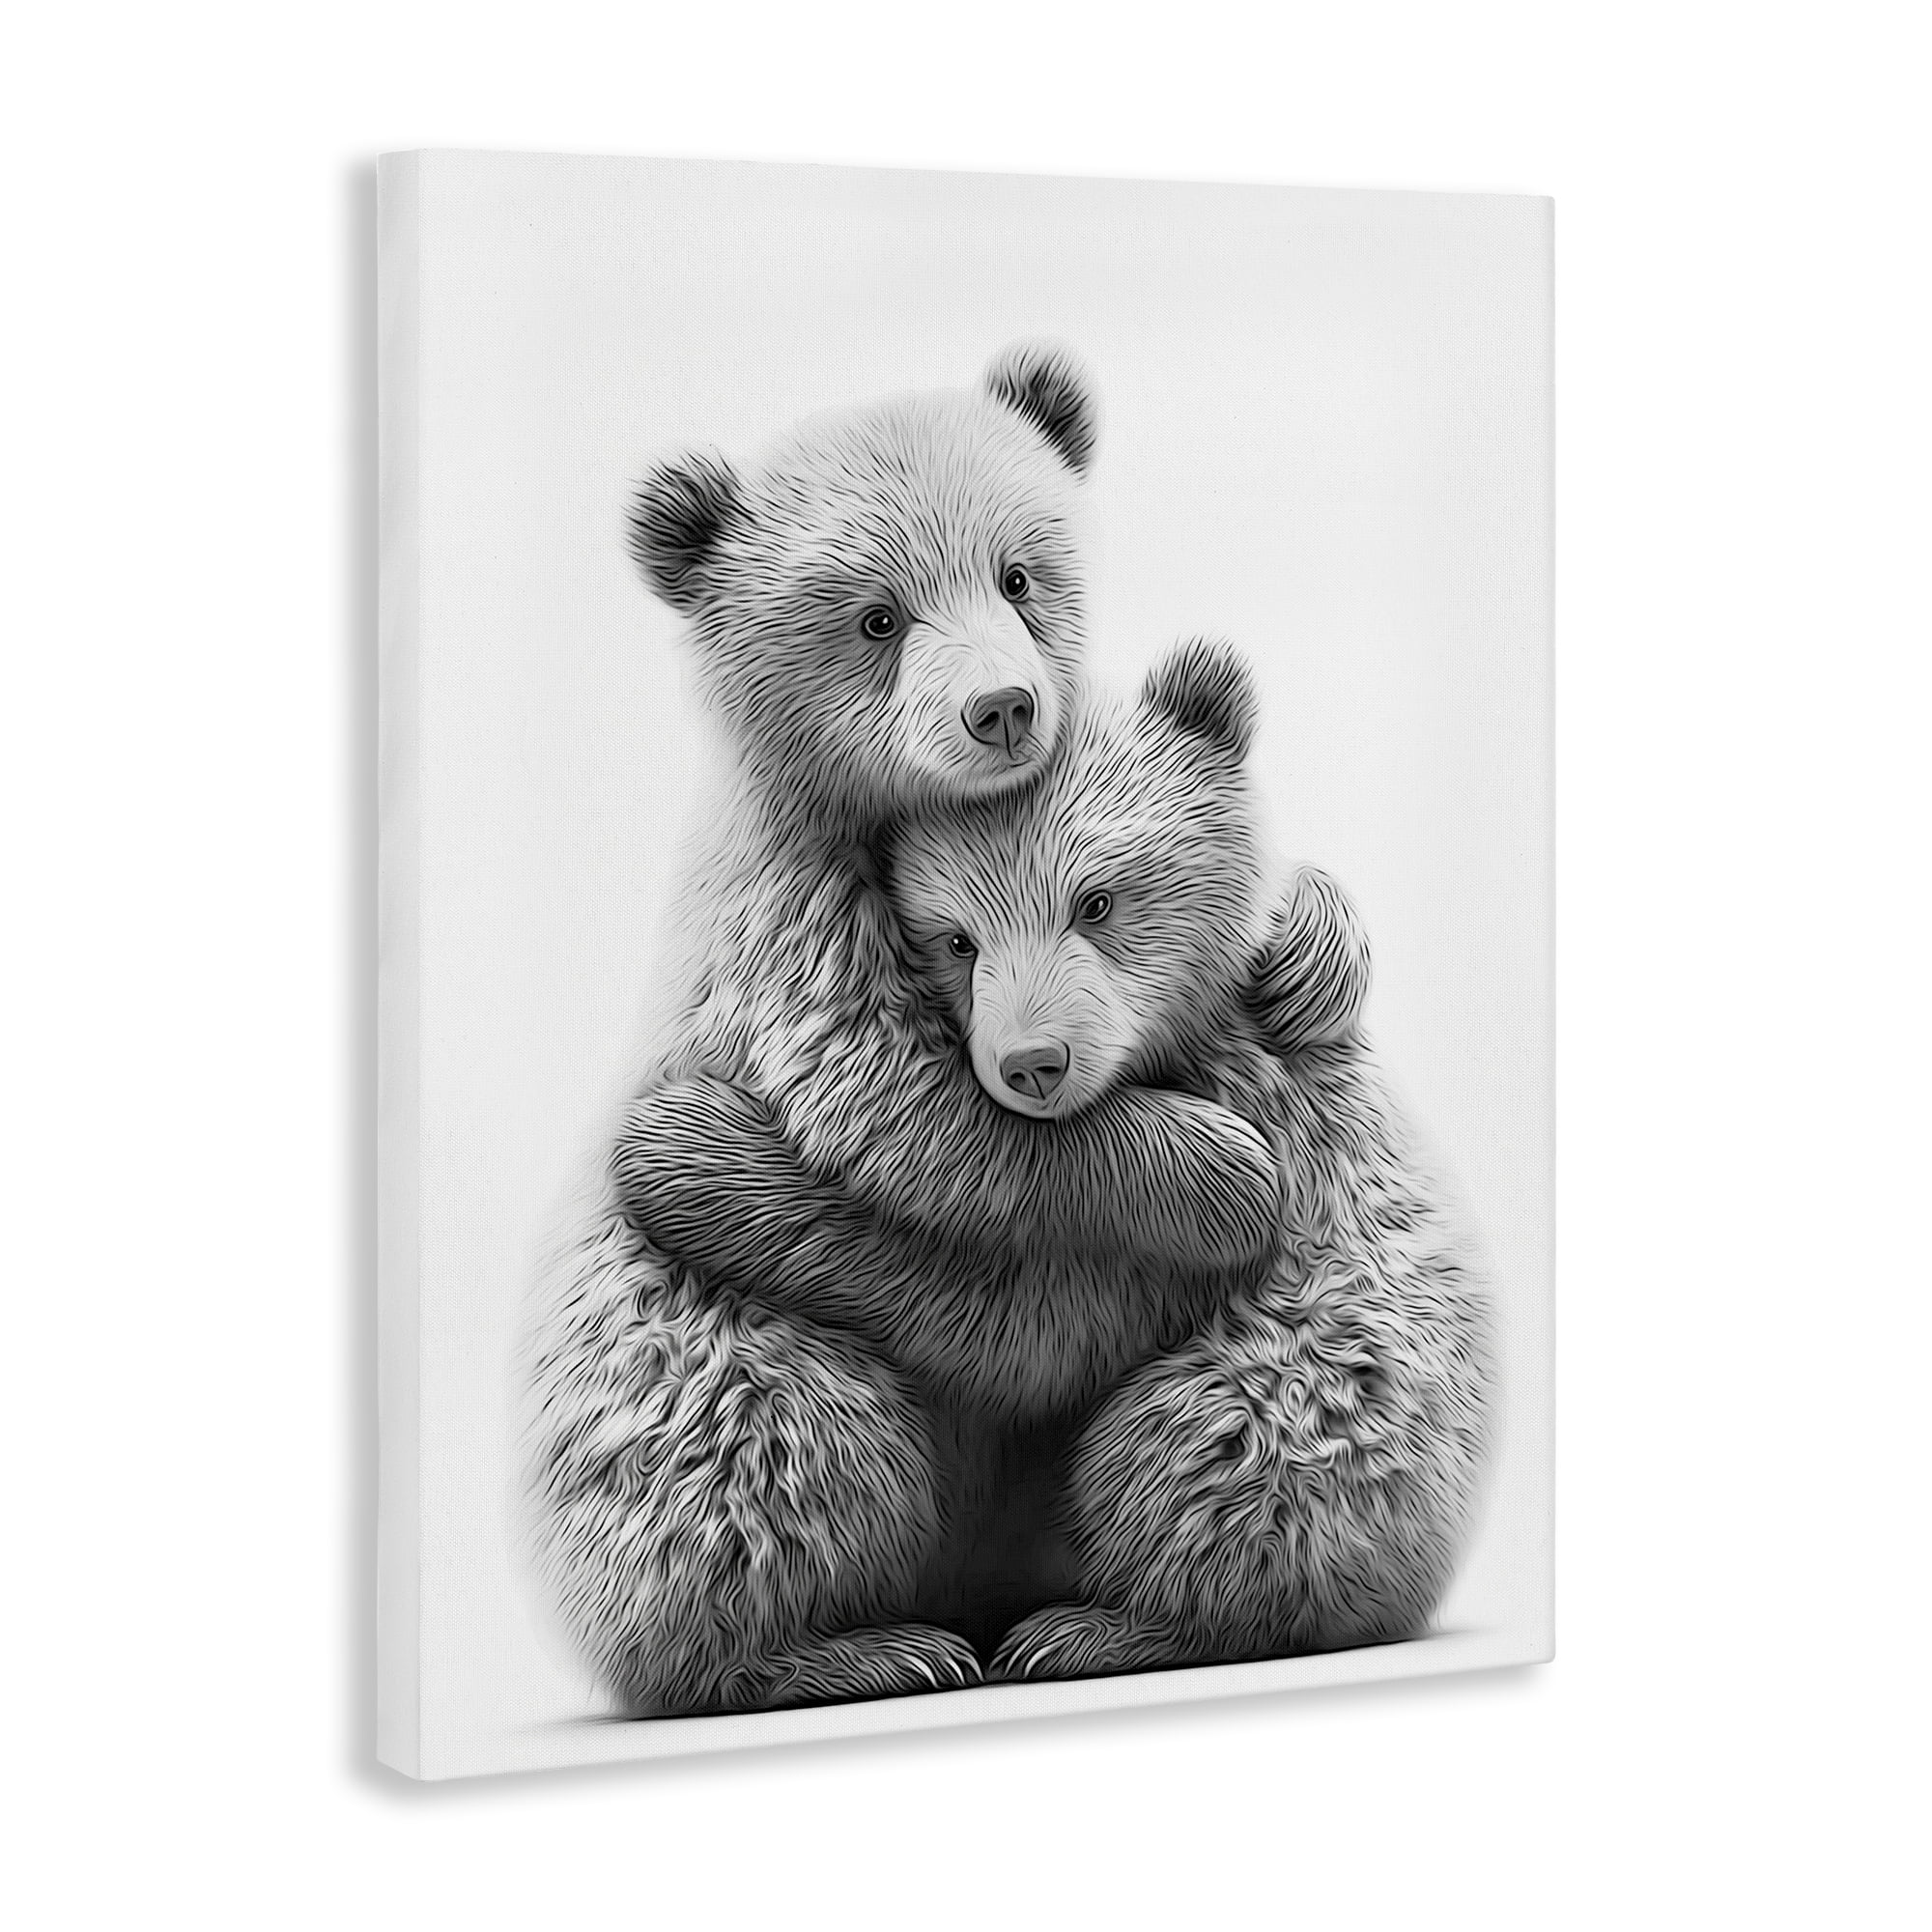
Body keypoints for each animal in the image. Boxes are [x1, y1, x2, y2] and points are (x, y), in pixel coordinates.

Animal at [522, 347, 1292, 1718]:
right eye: (876, 616)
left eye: (1016, 572)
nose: (1003, 706)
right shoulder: (791, 915)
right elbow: (905, 1114)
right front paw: (1217, 1172)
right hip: (696, 1351)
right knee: (783, 1437)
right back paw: (858, 1645)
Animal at [622, 637, 1494, 1682]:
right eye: (957, 939)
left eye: (1098, 898)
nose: (1031, 1062)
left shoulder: (1262, 1131)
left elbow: (1028, 1312)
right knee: (790, 1431)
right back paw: (873, 1645)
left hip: (1304, 1397)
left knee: (1197, 1447)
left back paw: (1084, 1628)